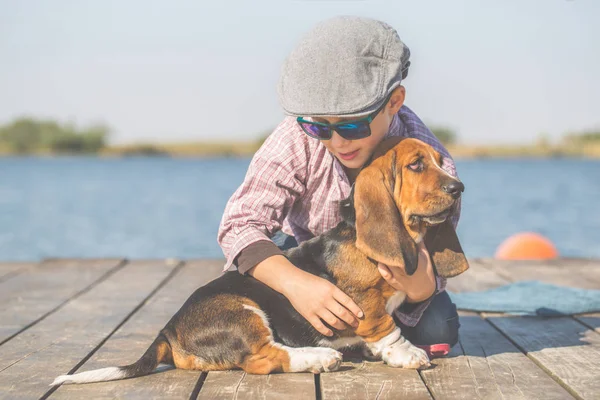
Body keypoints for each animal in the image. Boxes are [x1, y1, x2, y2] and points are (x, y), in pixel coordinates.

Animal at [52, 137, 468, 384]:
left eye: (439, 161)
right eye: (416, 165)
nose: (459, 187)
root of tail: (168, 330)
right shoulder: (367, 304)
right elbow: (387, 328)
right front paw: (407, 353)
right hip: (244, 310)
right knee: (262, 358)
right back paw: (318, 357)